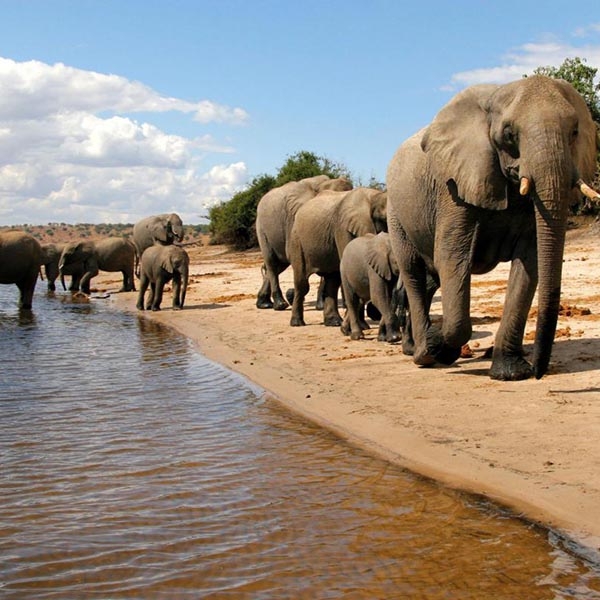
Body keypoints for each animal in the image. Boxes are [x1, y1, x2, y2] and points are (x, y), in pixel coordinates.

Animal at [253, 173, 352, 312]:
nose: (345, 307)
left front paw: (320, 306)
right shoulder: (295, 218)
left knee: (280, 265)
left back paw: (264, 304)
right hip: (261, 228)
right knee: (272, 263)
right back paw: (280, 304)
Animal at [290, 188, 390, 328]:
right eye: (384, 219)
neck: (374, 196)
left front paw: (363, 326)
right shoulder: (342, 228)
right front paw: (362, 327)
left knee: (332, 281)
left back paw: (334, 322)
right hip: (297, 240)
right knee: (302, 283)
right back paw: (297, 323)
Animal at [384, 74, 600, 380]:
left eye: (574, 132)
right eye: (509, 134)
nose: (539, 371)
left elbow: (530, 263)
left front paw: (511, 373)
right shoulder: (454, 189)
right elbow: (452, 258)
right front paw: (442, 348)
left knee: (429, 280)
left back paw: (419, 349)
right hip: (396, 213)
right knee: (413, 271)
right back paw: (424, 354)